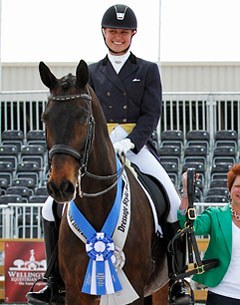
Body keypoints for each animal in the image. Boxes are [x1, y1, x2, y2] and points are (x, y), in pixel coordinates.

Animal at [39, 60, 169, 304]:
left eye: (83, 117)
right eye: (45, 118)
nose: (60, 187)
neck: (97, 206)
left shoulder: (132, 290)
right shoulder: (76, 290)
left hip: (159, 286)